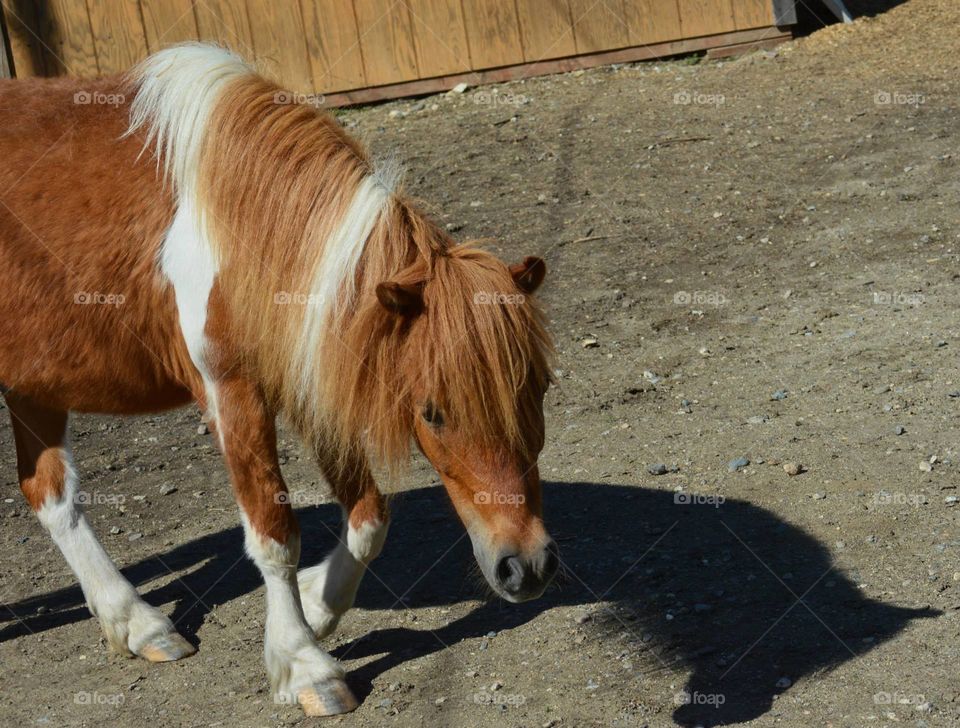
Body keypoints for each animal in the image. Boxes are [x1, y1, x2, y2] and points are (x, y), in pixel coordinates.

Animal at [0, 43, 557, 716]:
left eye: (540, 390)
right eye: (432, 412)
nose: (526, 567)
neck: (237, 222)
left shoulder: (307, 380)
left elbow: (370, 518)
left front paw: (318, 607)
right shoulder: (232, 393)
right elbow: (273, 533)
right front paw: (304, 664)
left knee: (50, 494)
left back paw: (137, 623)